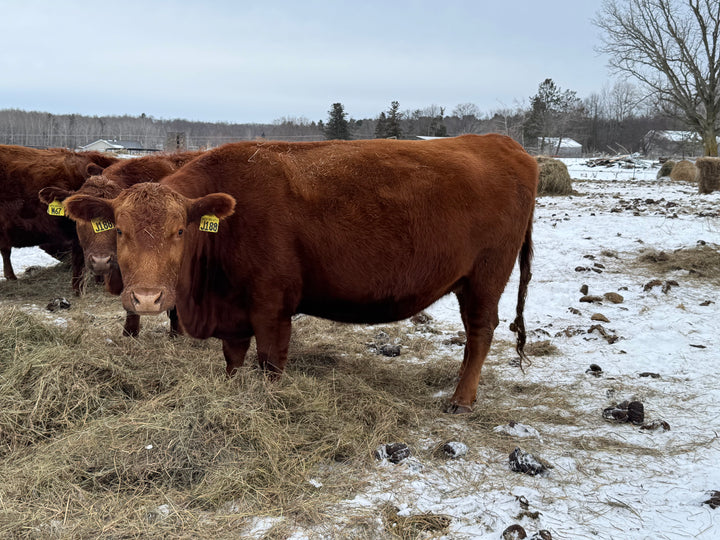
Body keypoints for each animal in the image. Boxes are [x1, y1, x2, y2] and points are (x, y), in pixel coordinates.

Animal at [64, 134, 537, 413]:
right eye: (120, 230)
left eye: (180, 230)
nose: (146, 298)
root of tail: (502, 142)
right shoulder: (234, 310)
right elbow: (234, 359)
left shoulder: (272, 308)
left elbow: (271, 363)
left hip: (484, 278)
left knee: (480, 332)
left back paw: (461, 399)